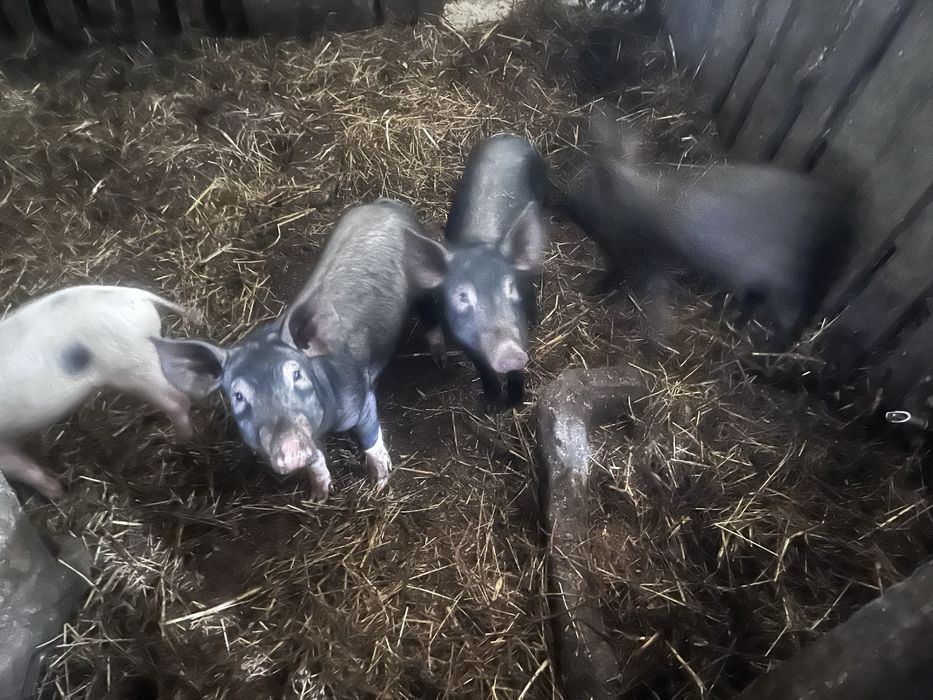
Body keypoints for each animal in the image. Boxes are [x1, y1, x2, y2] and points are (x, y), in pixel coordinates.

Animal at [0, 285, 195, 498]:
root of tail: (139, 295)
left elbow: (24, 470)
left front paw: (59, 495)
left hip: (134, 365)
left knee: (178, 400)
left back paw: (182, 441)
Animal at [153, 199, 449, 503]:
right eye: (238, 395)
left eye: (296, 375)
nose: (291, 450)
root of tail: (386, 204)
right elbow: (316, 461)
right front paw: (318, 498)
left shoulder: (361, 395)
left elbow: (370, 439)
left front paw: (379, 484)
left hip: (423, 284)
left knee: (431, 317)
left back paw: (439, 359)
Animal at [425, 134, 550, 410]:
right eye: (462, 296)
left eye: (509, 286)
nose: (508, 352)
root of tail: (509, 136)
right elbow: (483, 368)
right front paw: (490, 402)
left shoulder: (518, 330)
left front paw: (514, 402)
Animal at [563, 124, 855, 349]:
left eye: (586, 179)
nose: (563, 201)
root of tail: (839, 215)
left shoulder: (640, 256)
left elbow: (640, 286)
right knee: (756, 302)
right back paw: (732, 320)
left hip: (790, 284)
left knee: (791, 319)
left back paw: (767, 349)